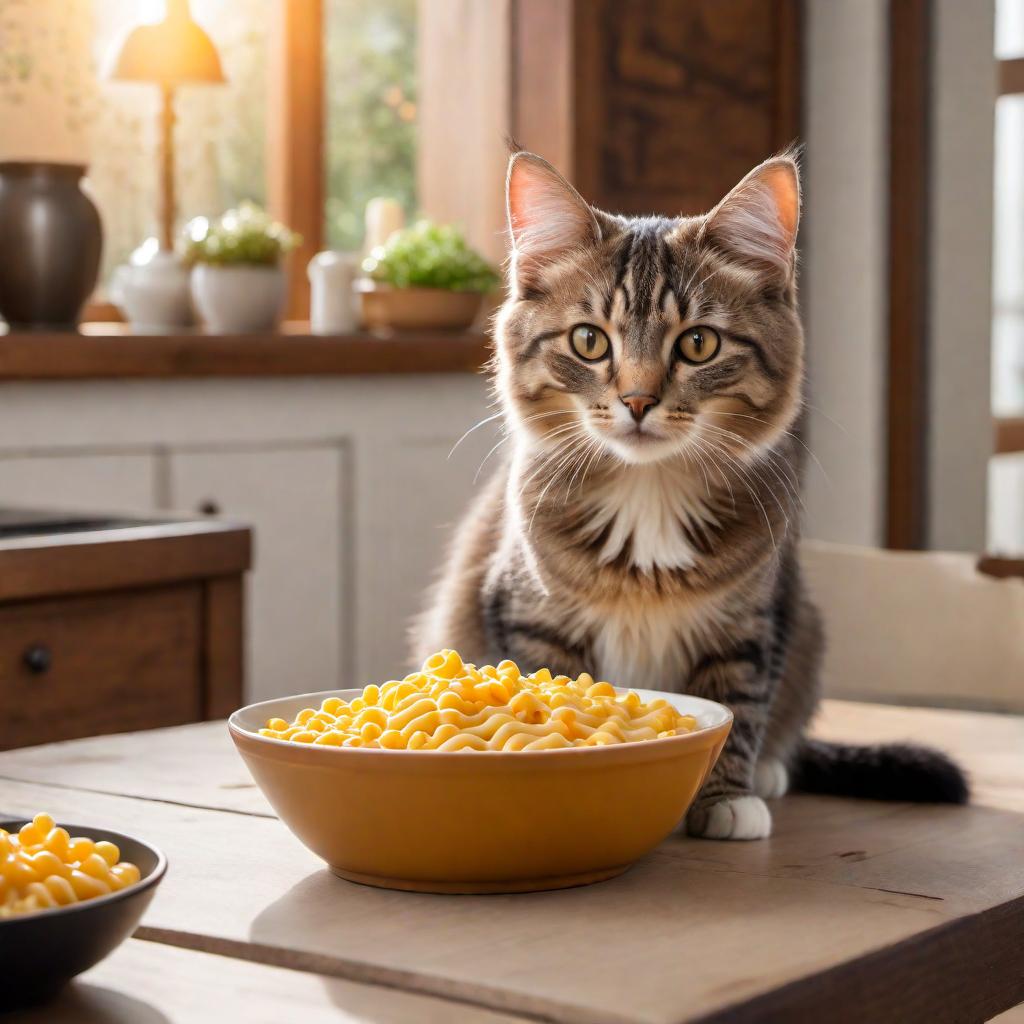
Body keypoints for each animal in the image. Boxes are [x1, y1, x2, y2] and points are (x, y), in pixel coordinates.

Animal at [411, 151, 962, 839]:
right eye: (589, 341)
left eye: (698, 343)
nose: (638, 401)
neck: (648, 498)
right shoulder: (529, 615)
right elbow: (555, 691)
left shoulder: (753, 620)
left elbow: (737, 706)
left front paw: (725, 797)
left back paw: (771, 773)